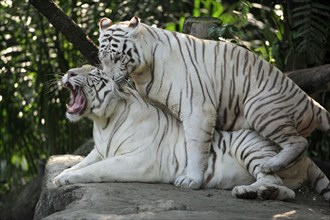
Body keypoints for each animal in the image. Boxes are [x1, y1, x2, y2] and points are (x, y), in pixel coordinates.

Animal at [52, 65, 328, 201]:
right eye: (78, 68)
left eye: (93, 74)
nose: (69, 73)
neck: (104, 123)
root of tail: (307, 158)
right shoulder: (99, 150)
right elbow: (83, 163)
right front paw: (62, 175)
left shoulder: (138, 160)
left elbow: (97, 169)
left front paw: (67, 179)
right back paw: (254, 192)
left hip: (251, 145)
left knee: (277, 181)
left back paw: (251, 192)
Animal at [98, 16, 330, 189]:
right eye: (102, 59)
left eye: (118, 58)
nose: (109, 80)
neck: (143, 71)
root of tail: (312, 103)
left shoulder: (197, 109)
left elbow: (195, 145)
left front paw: (191, 179)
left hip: (261, 108)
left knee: (299, 141)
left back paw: (270, 165)